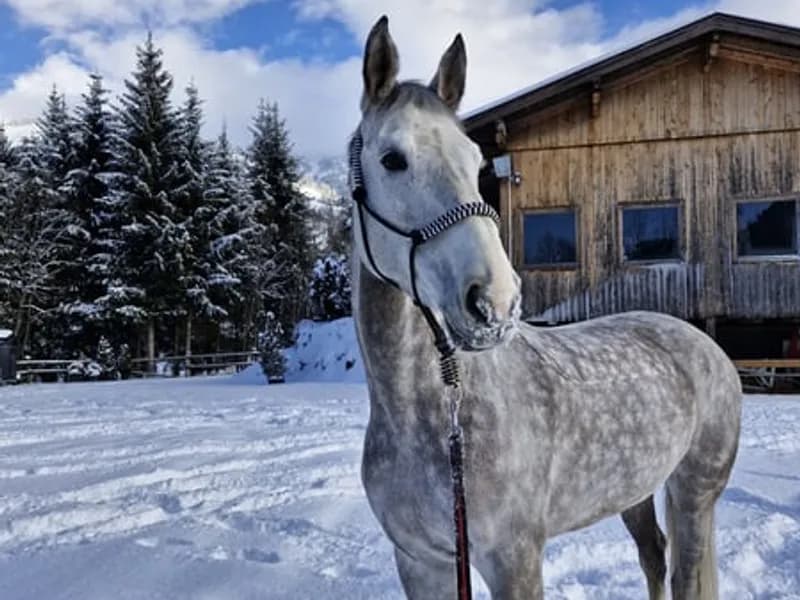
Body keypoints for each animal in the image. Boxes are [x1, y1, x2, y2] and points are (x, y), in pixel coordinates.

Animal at [352, 16, 741, 600]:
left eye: (476, 162)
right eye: (392, 160)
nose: (495, 301)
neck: (428, 415)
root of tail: (704, 345)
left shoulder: (514, 559)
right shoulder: (420, 562)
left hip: (694, 493)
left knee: (684, 574)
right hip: (634, 491)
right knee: (653, 556)